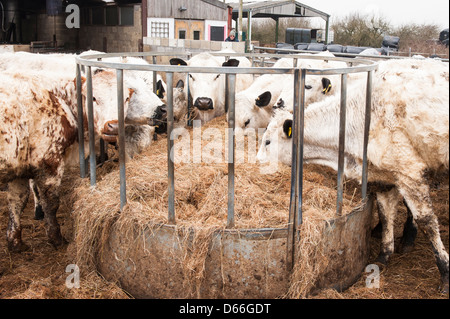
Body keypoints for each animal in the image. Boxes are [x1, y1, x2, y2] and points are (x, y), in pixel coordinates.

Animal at [256, 58, 450, 294]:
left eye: (267, 141)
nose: (256, 163)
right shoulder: (384, 177)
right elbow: (386, 213)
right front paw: (384, 255)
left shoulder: (410, 171)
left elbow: (427, 222)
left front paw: (444, 272)